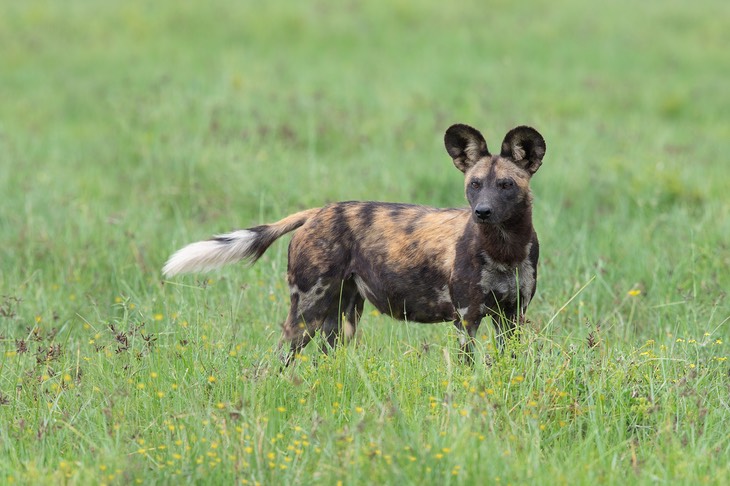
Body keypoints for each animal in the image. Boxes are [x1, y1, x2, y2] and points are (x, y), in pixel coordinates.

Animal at [162, 123, 544, 362]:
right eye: (475, 184)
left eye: (506, 185)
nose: (482, 212)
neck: (504, 250)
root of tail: (316, 213)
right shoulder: (466, 319)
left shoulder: (512, 317)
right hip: (306, 313)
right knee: (280, 356)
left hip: (341, 315)